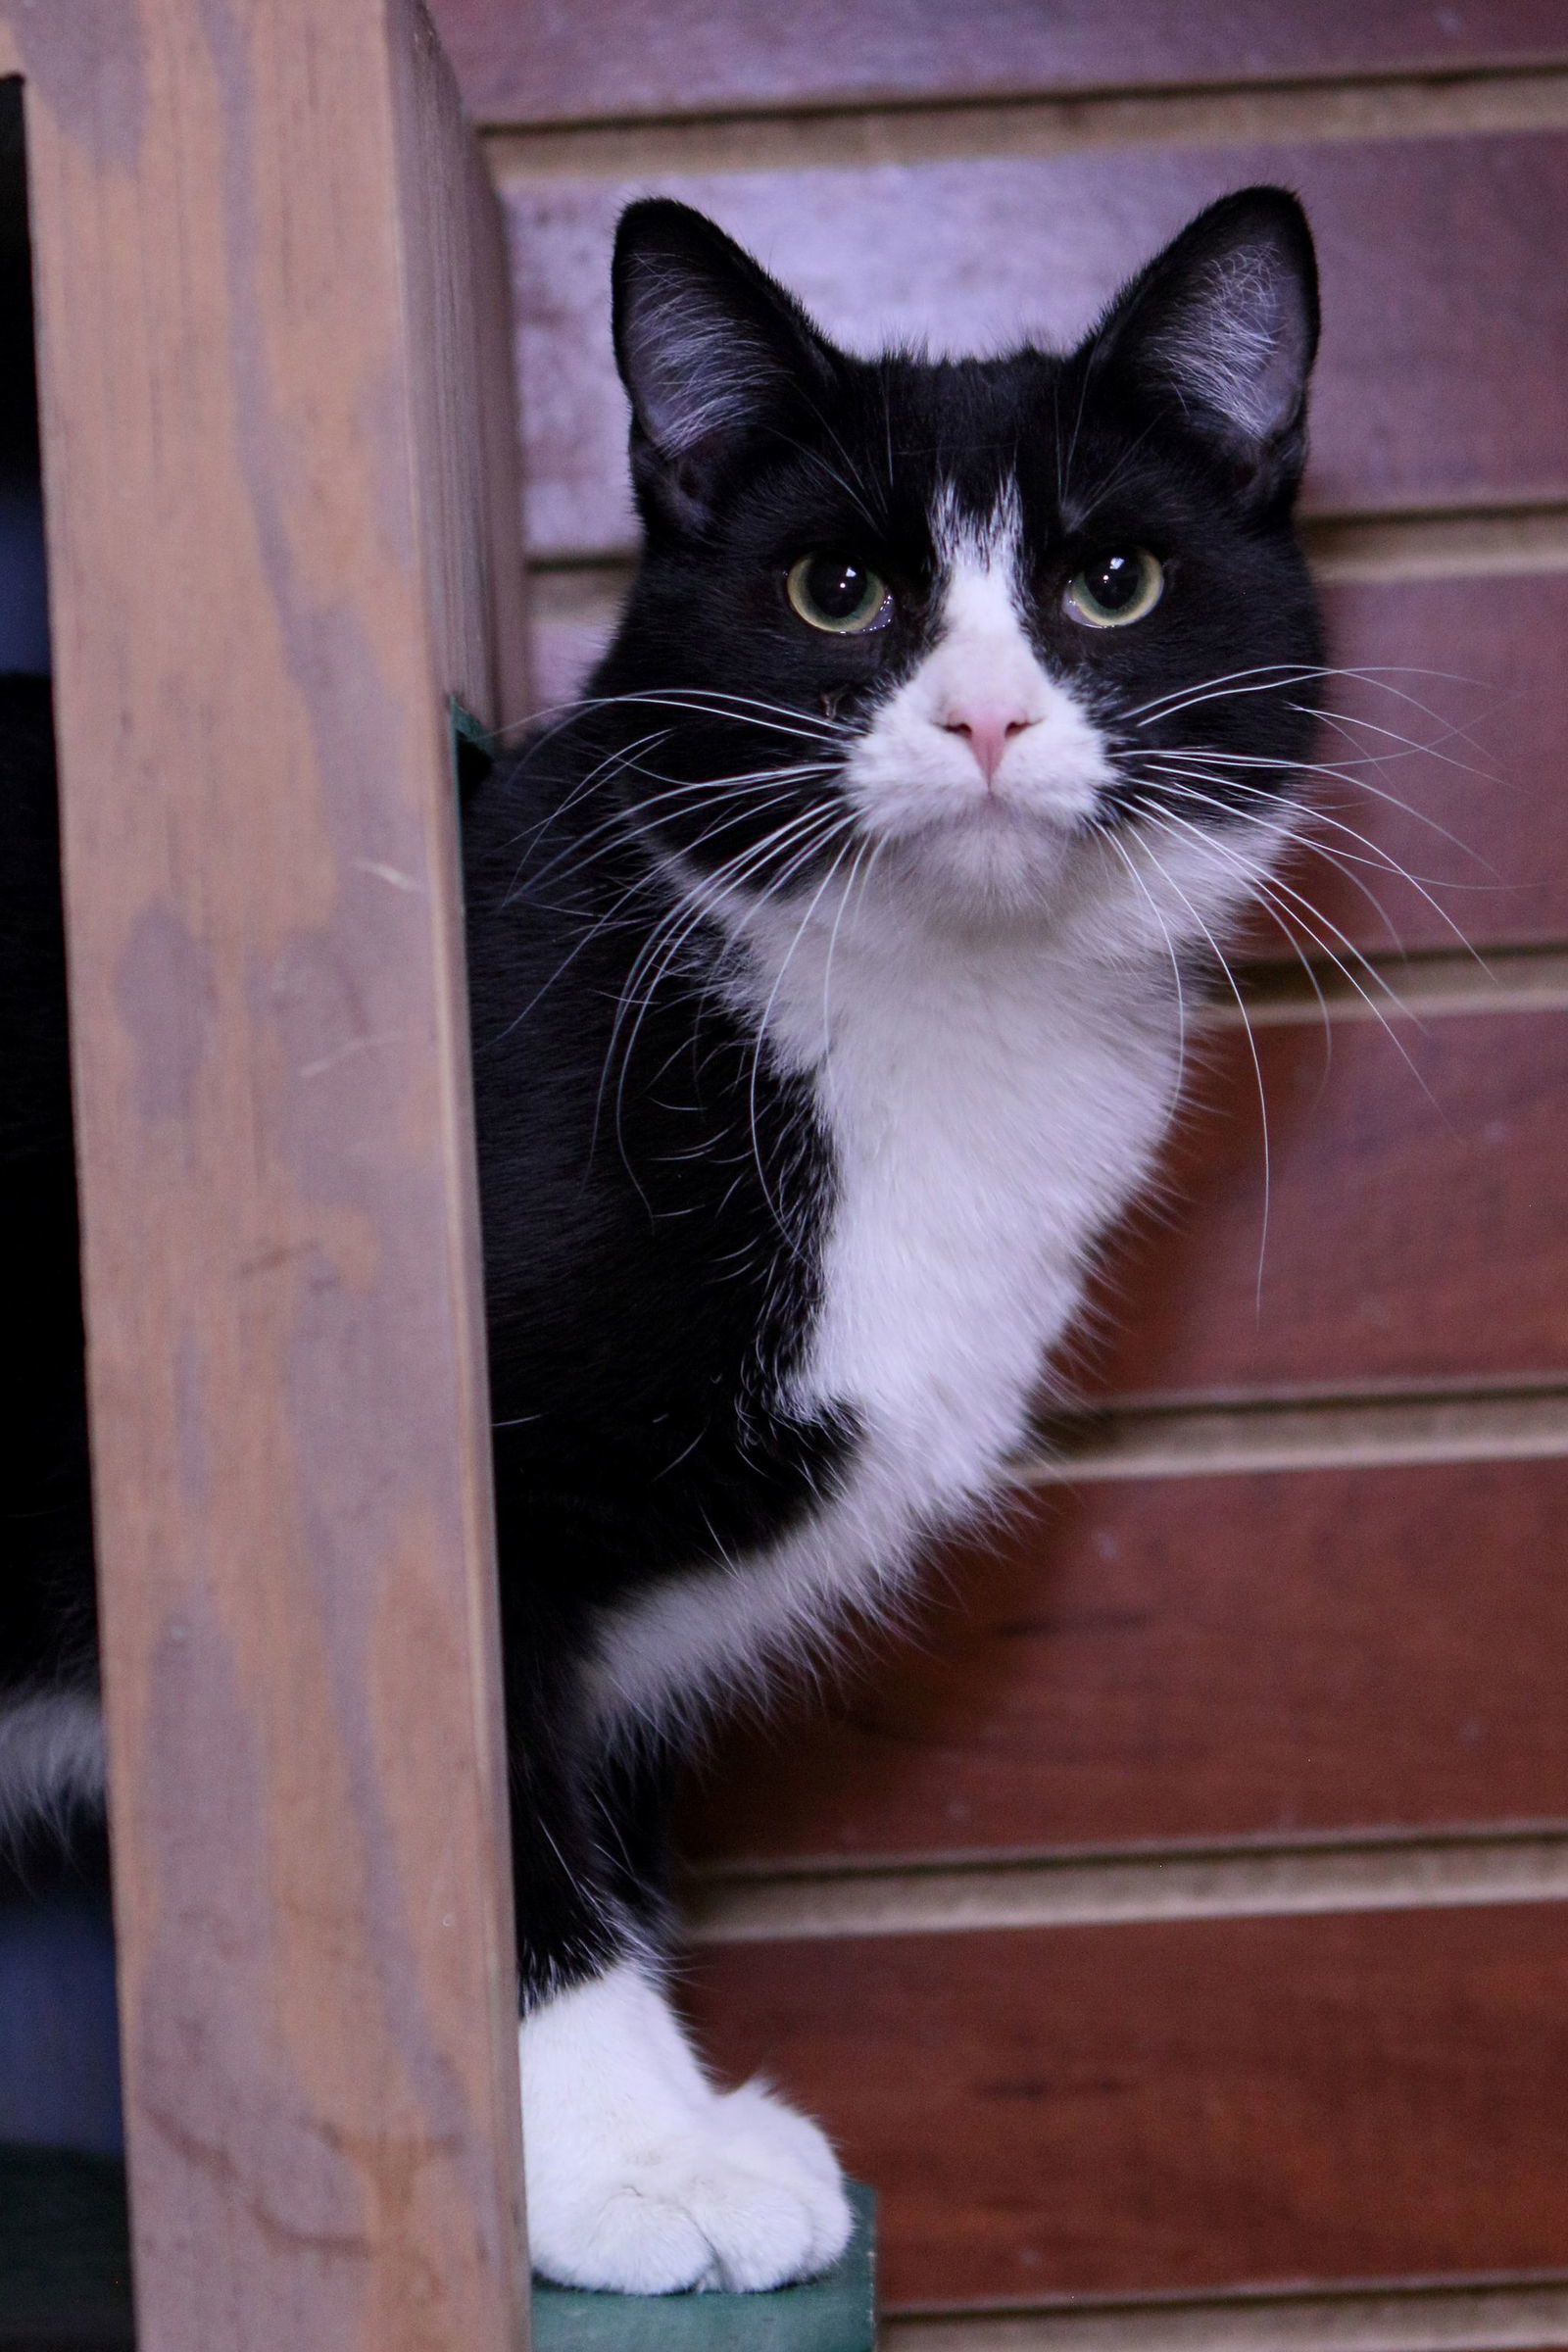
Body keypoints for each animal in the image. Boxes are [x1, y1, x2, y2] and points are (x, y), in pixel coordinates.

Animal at [0, 188, 1325, 2295]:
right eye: (836, 592)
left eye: (1112, 581)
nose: (984, 715)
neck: (929, 1031)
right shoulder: (437, 1495)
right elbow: (504, 1818)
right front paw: (630, 2163)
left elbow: (605, 1805)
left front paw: (662, 2126)